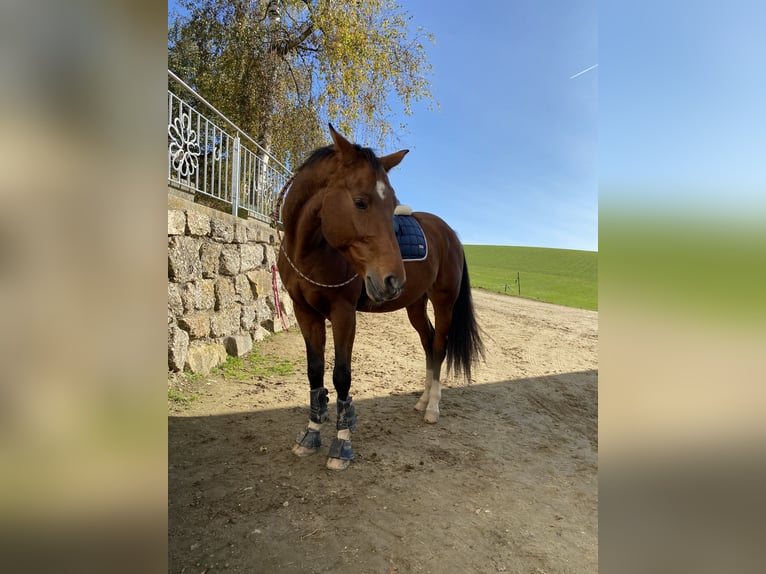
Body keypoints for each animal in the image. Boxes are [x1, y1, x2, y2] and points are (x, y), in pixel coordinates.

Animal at [276, 126, 484, 472]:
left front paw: (341, 445)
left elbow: (342, 377)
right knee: (428, 344)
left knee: (439, 347)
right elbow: (315, 371)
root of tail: (450, 233)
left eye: (392, 206)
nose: (393, 280)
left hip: (444, 303)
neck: (310, 251)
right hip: (415, 305)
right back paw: (422, 400)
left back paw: (433, 408)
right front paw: (310, 434)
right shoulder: (304, 311)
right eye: (360, 202)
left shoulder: (343, 314)